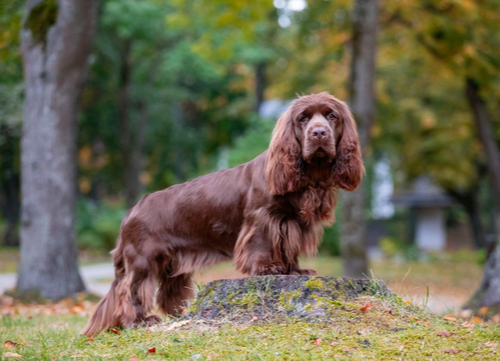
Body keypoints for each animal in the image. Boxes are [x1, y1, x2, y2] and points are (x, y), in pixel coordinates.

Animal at [83, 92, 364, 334]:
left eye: (332, 116)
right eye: (303, 119)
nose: (319, 133)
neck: (310, 177)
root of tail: (130, 212)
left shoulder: (291, 222)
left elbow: (288, 249)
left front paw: (295, 270)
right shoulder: (263, 217)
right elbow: (264, 243)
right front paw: (267, 268)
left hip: (173, 263)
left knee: (167, 292)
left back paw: (178, 315)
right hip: (143, 260)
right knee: (131, 290)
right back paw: (139, 321)